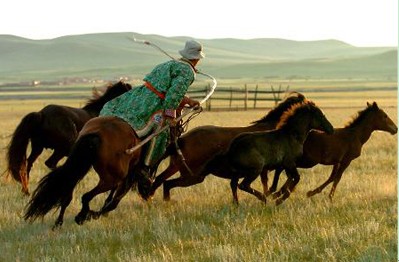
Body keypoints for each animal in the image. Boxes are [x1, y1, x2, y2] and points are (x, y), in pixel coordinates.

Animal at [23, 115, 153, 228]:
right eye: (147, 185)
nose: (149, 197)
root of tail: (96, 134)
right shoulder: (127, 176)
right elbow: (114, 201)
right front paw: (92, 214)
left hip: (76, 169)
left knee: (67, 195)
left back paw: (59, 223)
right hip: (109, 179)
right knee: (86, 196)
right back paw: (82, 216)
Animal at [148, 92, 308, 201]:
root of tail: (181, 139)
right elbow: (272, 181)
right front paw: (273, 194)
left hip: (177, 166)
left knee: (159, 180)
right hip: (192, 174)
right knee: (165, 182)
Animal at [266, 101, 396, 200]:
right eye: (384, 116)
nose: (396, 129)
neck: (356, 135)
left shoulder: (337, 161)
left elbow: (332, 177)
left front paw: (313, 192)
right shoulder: (346, 160)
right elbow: (337, 178)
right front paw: (327, 196)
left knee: (285, 171)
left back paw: (276, 192)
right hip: (307, 161)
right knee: (283, 169)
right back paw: (276, 192)